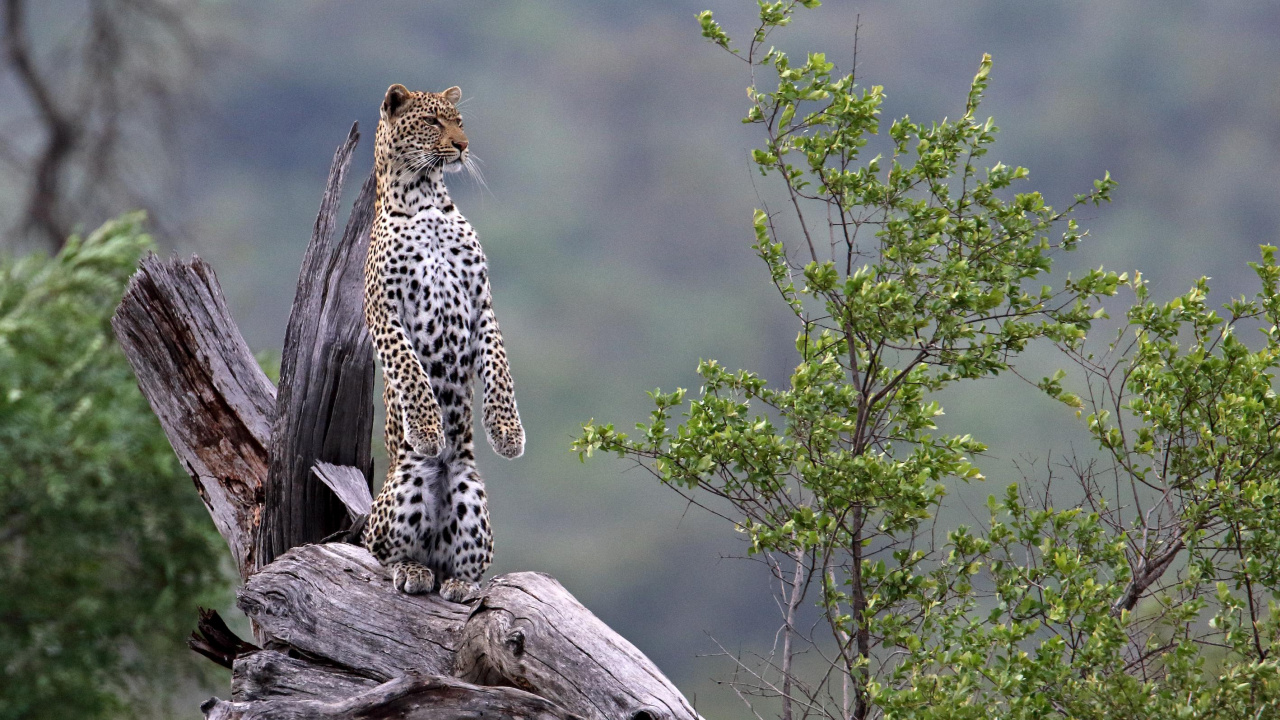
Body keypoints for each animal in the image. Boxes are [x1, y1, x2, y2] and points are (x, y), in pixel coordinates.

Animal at [361, 83, 524, 603]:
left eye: (459, 120)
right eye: (433, 122)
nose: (462, 146)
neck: (426, 196)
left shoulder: (481, 301)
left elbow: (499, 367)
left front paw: (507, 433)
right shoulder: (383, 310)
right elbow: (410, 370)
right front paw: (430, 430)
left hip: (473, 499)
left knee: (464, 565)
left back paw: (460, 584)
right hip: (404, 488)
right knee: (380, 551)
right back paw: (412, 570)